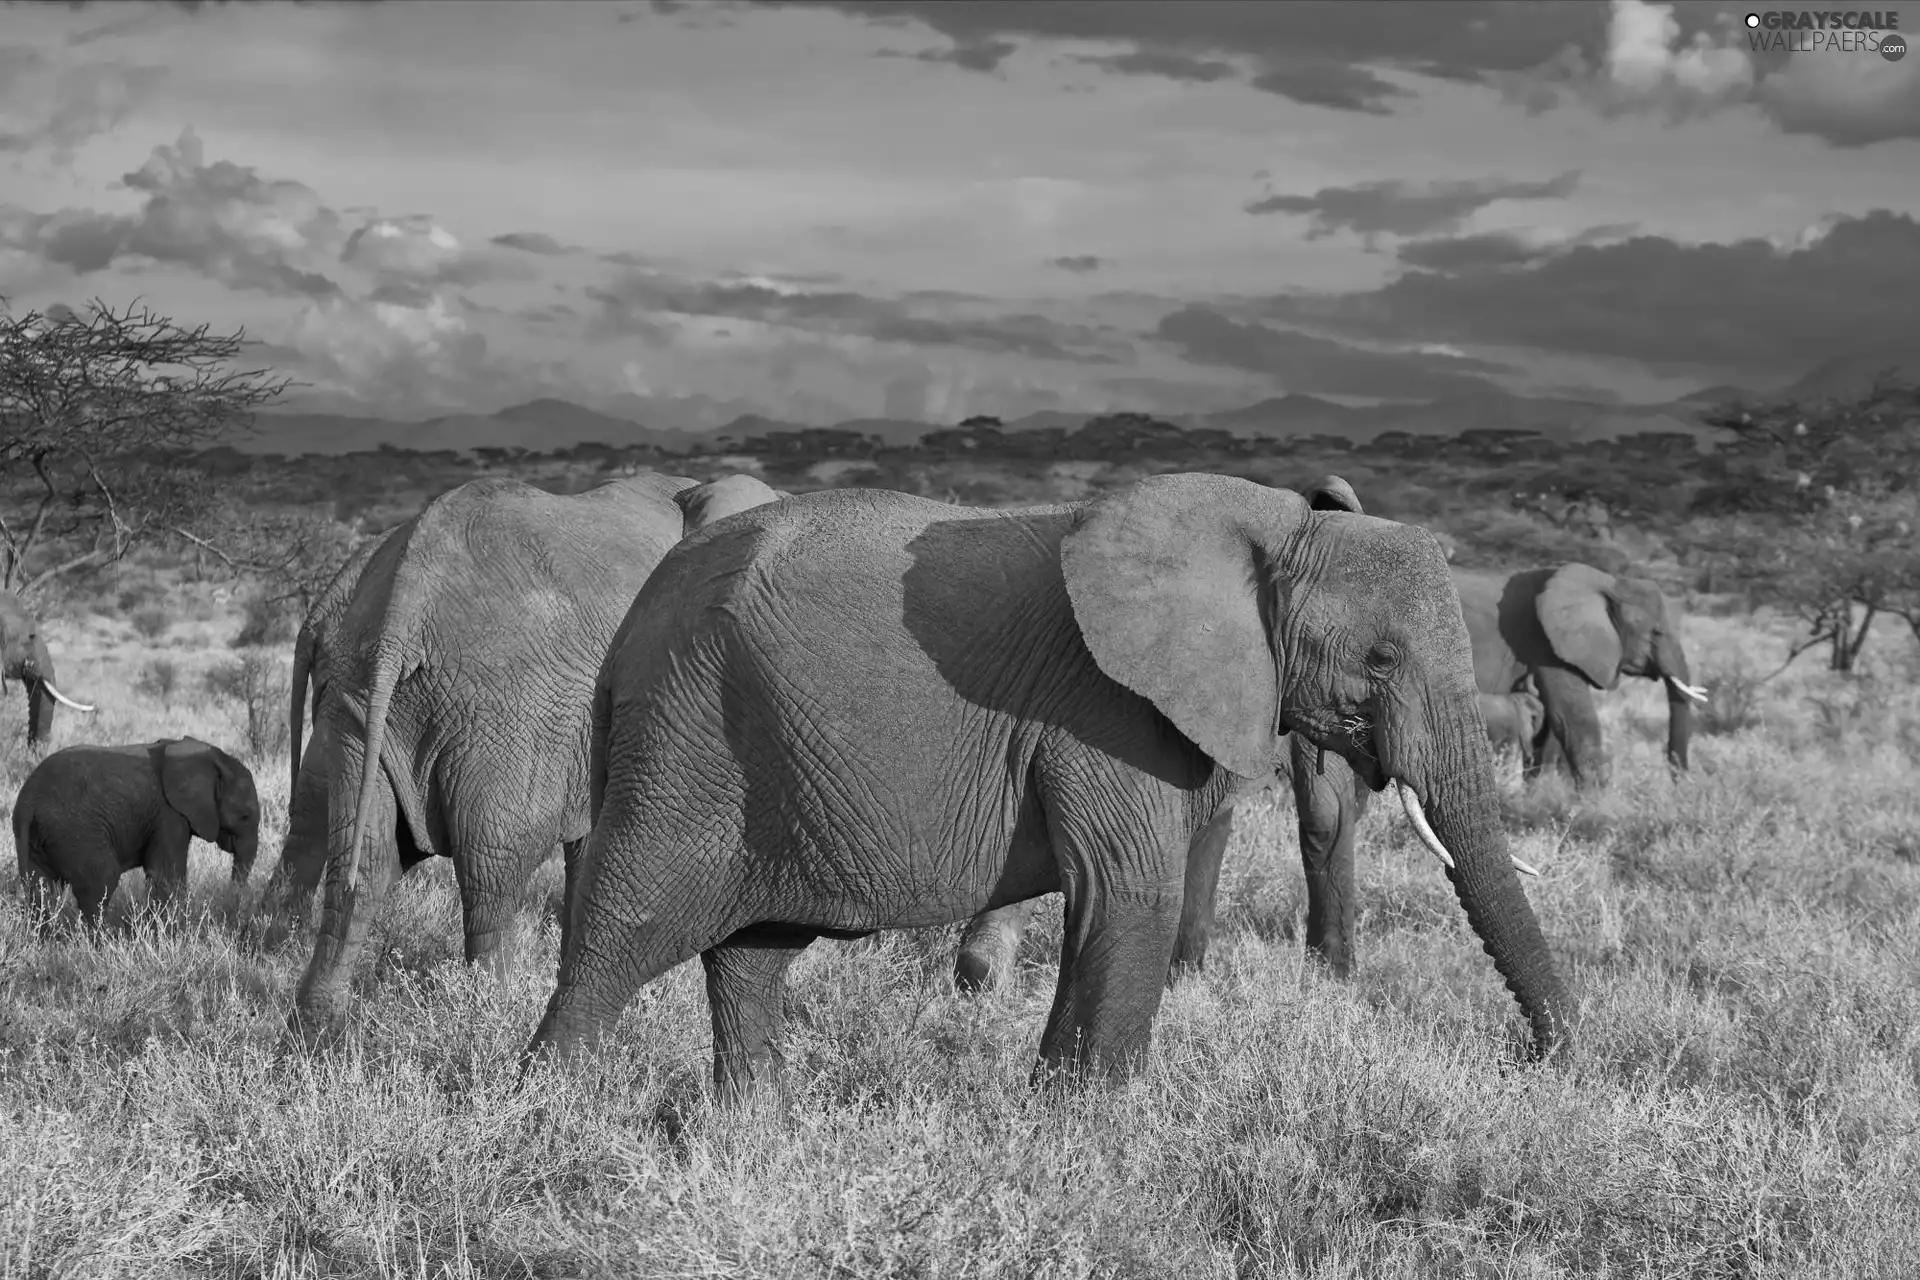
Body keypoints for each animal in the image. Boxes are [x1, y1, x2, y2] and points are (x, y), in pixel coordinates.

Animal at [11, 736, 261, 936]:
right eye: (245, 816)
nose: (230, 918)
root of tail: (27, 802)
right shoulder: (168, 815)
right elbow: (165, 875)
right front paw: (171, 934)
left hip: (39, 837)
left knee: (41, 889)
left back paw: (47, 940)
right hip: (75, 831)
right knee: (101, 882)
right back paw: (105, 941)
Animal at [282, 470, 802, 1043]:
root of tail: (405, 604)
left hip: (357, 698)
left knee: (361, 858)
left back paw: (313, 1033)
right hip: (506, 710)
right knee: (493, 867)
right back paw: (488, 1017)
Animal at [526, 474, 1574, 1105]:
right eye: (1381, 659)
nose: (1534, 1059)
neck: (1269, 530)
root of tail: (630, 626)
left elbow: (1110, 903)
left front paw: (1053, 1112)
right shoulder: (1104, 710)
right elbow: (1130, 891)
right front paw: (1089, 1132)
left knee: (752, 957)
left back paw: (754, 1131)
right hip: (687, 736)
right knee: (625, 933)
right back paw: (554, 1121)